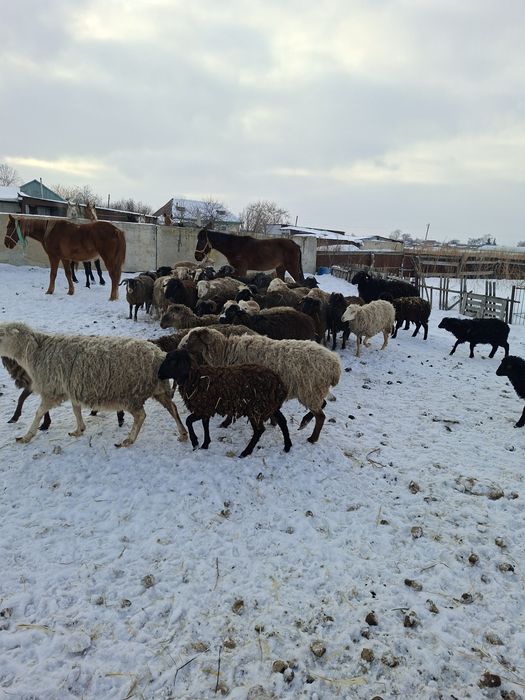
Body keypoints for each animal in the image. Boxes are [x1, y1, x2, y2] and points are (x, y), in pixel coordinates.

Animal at [0, 322, 187, 447]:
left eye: (2, 334)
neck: (35, 353)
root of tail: (159, 355)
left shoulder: (52, 390)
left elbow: (39, 412)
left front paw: (26, 436)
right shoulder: (72, 387)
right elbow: (76, 409)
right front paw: (79, 429)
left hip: (131, 394)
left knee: (141, 415)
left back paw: (128, 439)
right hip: (158, 388)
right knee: (172, 408)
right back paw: (183, 433)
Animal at [158, 349, 292, 457]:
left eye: (172, 361)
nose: (158, 374)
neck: (195, 378)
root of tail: (279, 382)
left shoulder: (202, 408)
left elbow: (188, 421)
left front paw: (195, 442)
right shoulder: (206, 408)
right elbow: (204, 425)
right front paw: (205, 444)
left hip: (256, 407)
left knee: (259, 430)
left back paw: (245, 452)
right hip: (269, 405)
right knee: (282, 421)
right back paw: (287, 446)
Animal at [178, 327, 342, 443]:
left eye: (190, 339)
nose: (179, 350)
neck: (225, 352)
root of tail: (335, 365)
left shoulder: (237, 386)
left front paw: (225, 423)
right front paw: (273, 422)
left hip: (310, 390)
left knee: (321, 416)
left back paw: (312, 438)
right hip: (314, 390)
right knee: (323, 405)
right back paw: (305, 423)